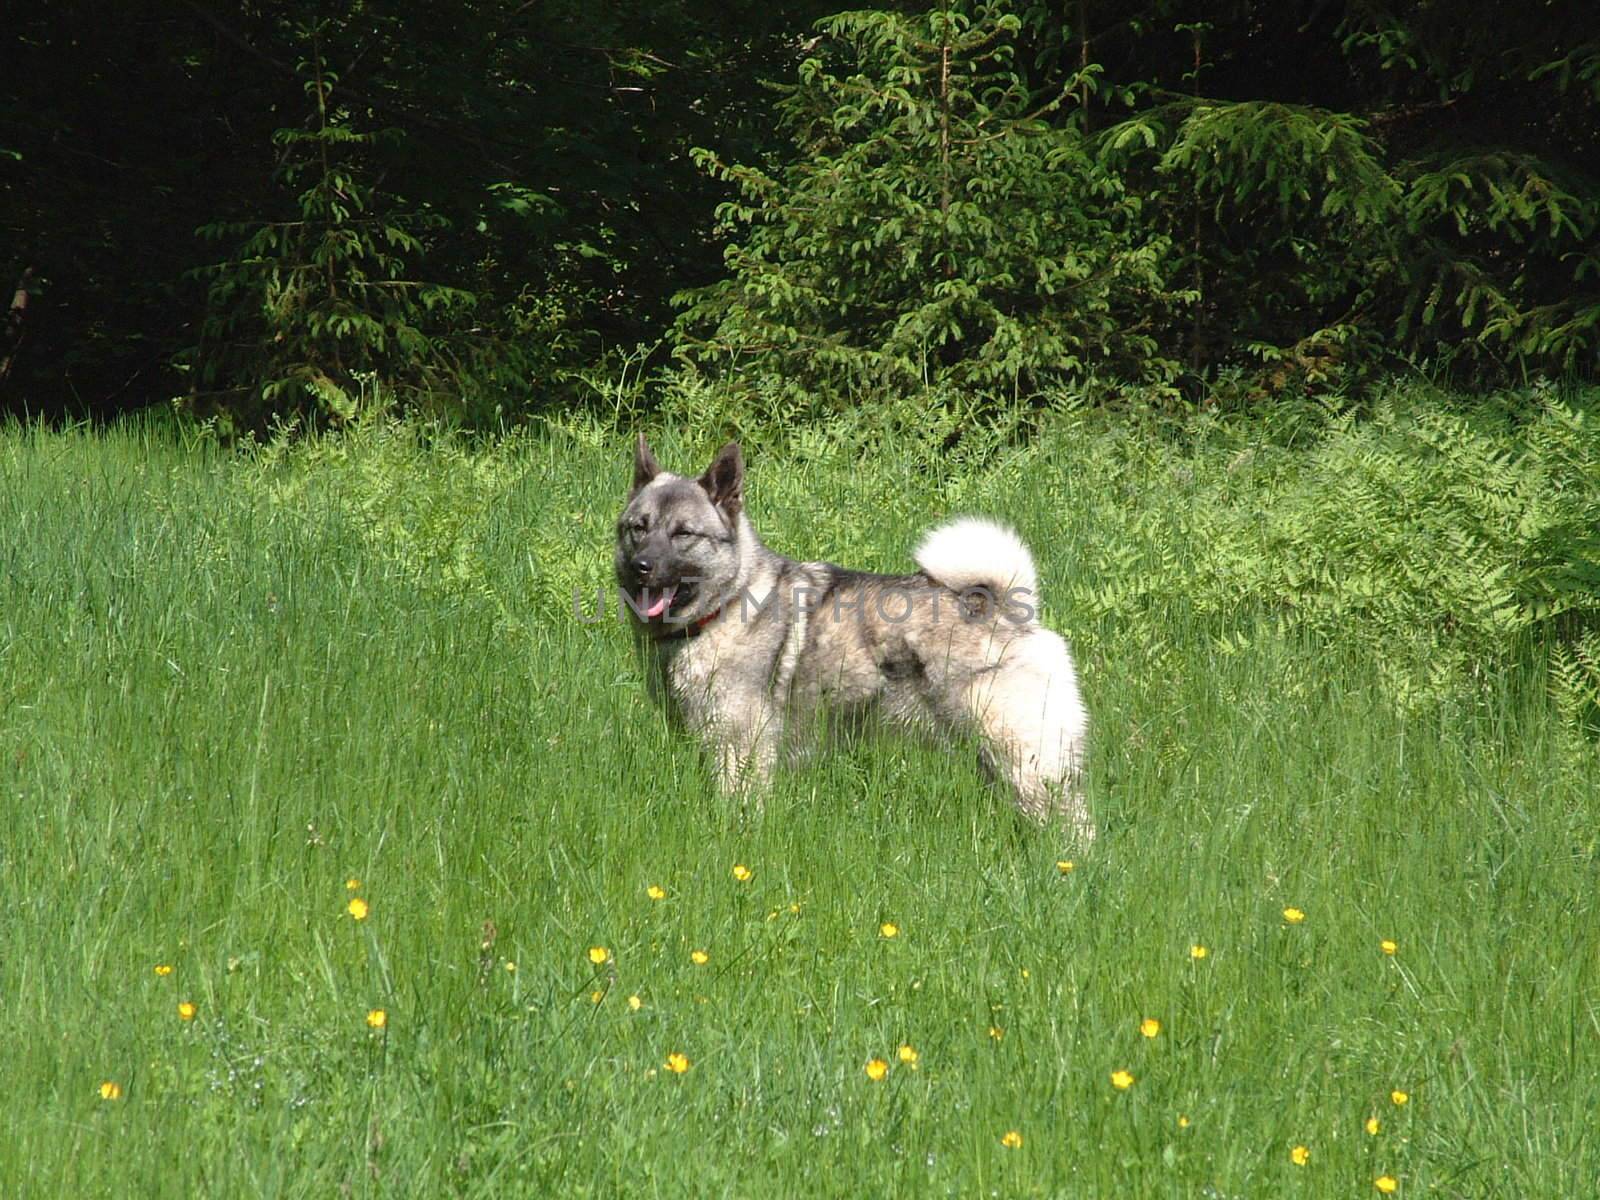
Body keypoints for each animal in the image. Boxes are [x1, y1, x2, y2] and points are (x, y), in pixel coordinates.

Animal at [611, 438, 1088, 838]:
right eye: (639, 527)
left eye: (683, 534)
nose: (641, 566)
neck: (725, 607)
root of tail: (1006, 611)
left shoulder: (740, 749)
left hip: (1023, 759)